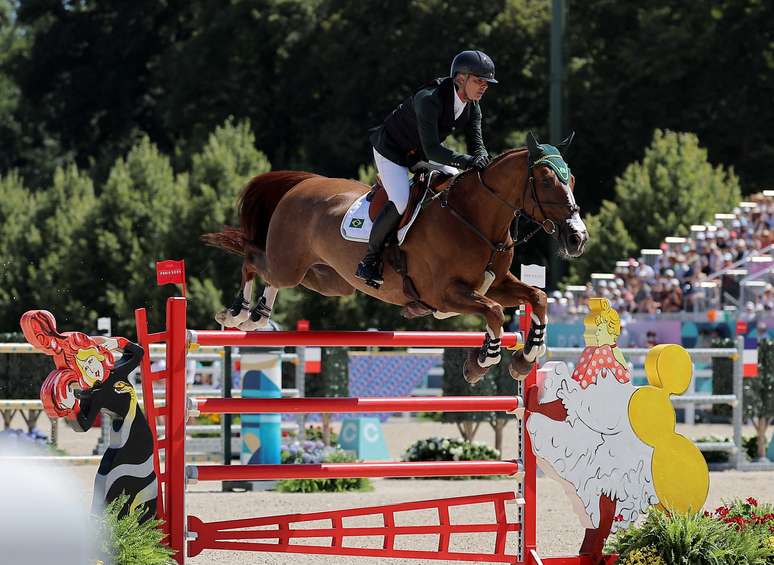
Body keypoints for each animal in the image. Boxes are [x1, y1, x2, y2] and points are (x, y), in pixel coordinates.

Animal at [205, 133, 588, 378]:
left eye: (571, 179)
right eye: (546, 179)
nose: (577, 237)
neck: (473, 218)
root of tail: (303, 183)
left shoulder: (495, 284)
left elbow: (536, 297)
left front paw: (526, 356)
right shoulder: (444, 294)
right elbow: (494, 311)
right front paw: (482, 361)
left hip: (328, 279)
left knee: (274, 277)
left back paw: (258, 315)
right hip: (289, 264)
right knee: (253, 259)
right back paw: (236, 313)